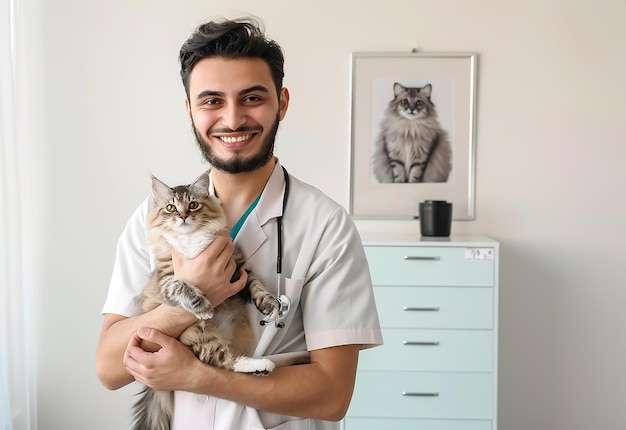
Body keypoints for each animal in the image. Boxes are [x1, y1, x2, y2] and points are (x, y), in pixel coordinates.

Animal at [133, 171, 280, 430]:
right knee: (223, 362)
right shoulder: (167, 280)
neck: (192, 240)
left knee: (227, 362)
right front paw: (203, 306)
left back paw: (260, 367)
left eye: (193, 205)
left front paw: (270, 305)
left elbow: (258, 289)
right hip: (198, 335)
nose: (182, 216)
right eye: (171, 207)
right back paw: (259, 366)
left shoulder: (239, 271)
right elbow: (183, 286)